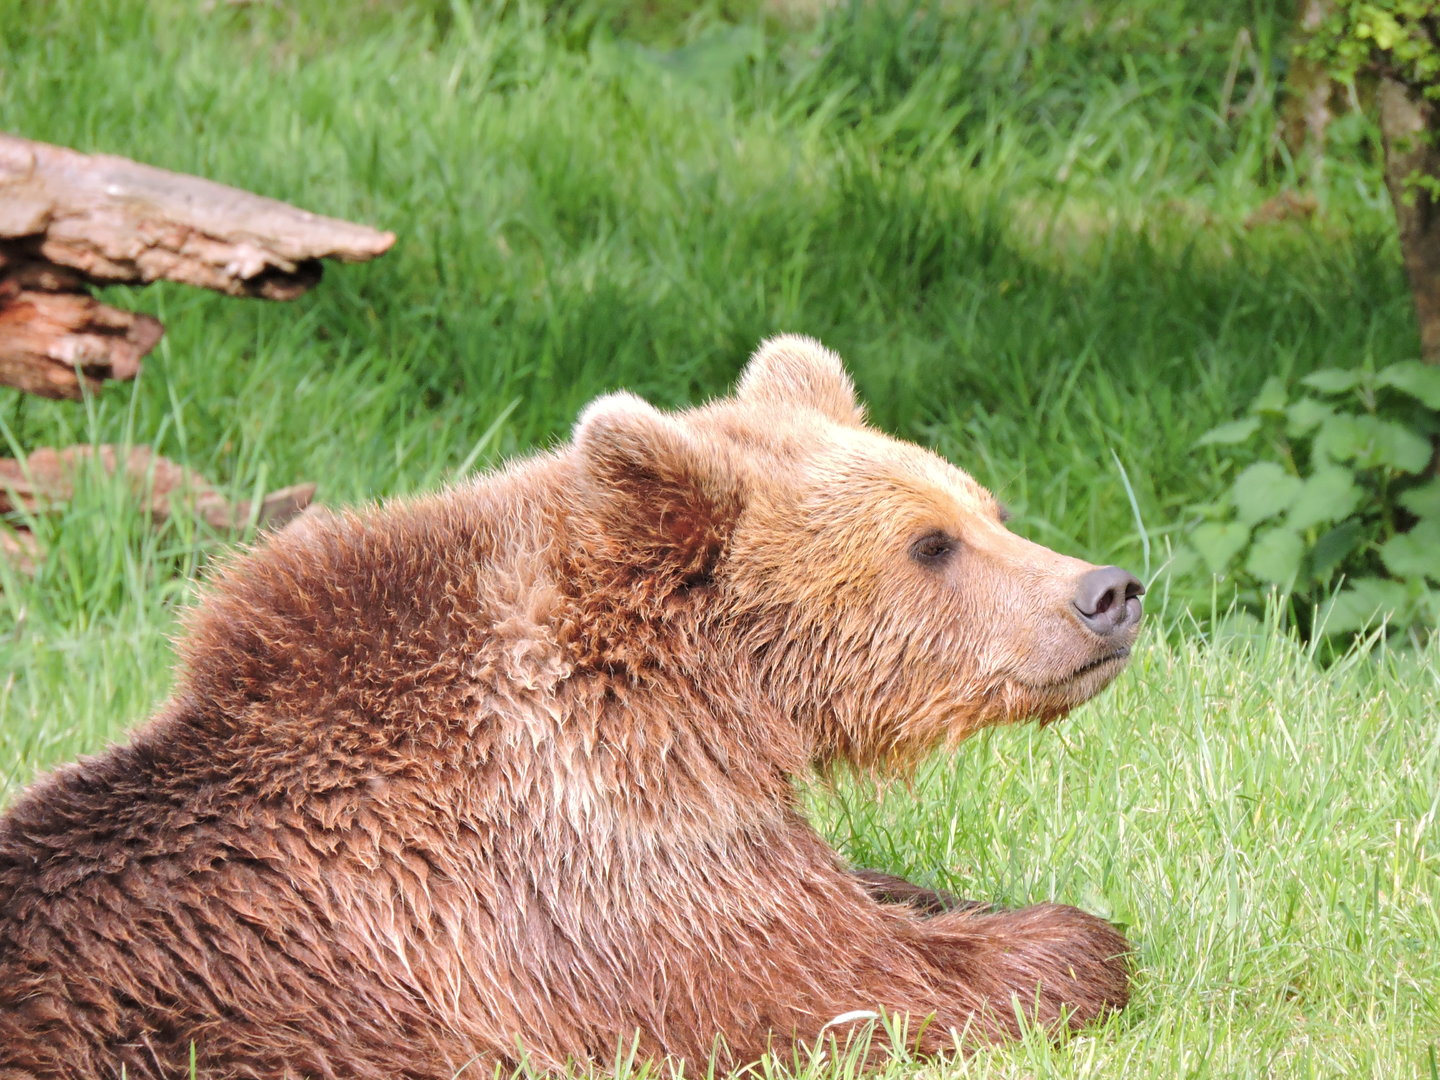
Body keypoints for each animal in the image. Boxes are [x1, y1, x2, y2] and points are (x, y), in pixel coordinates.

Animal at [0, 336, 1143, 1079]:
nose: (1108, 590)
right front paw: (1079, 943)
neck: (706, 703)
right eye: (929, 544)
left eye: (986, 506)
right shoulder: (591, 876)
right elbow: (843, 982)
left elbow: (871, 897)